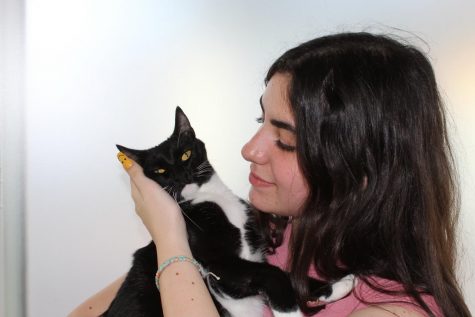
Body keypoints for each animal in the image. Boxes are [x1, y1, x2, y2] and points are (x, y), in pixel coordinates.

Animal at [103, 107, 354, 316]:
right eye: (160, 171)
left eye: (185, 154)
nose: (180, 176)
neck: (213, 197)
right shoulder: (219, 264)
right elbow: (272, 272)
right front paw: (289, 309)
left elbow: (284, 271)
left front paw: (337, 285)